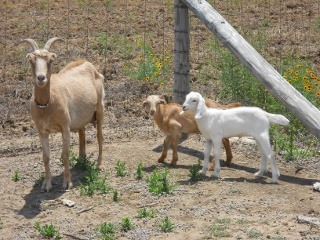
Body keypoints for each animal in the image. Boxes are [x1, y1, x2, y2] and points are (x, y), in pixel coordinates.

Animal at [21, 37, 105, 191]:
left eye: (50, 60)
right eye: (31, 60)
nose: (41, 78)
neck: (46, 106)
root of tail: (89, 64)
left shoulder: (65, 127)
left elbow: (65, 154)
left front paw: (67, 183)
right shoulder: (41, 131)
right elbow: (46, 157)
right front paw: (46, 184)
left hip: (100, 108)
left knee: (99, 136)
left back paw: (99, 164)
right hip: (80, 116)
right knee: (82, 133)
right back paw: (81, 161)